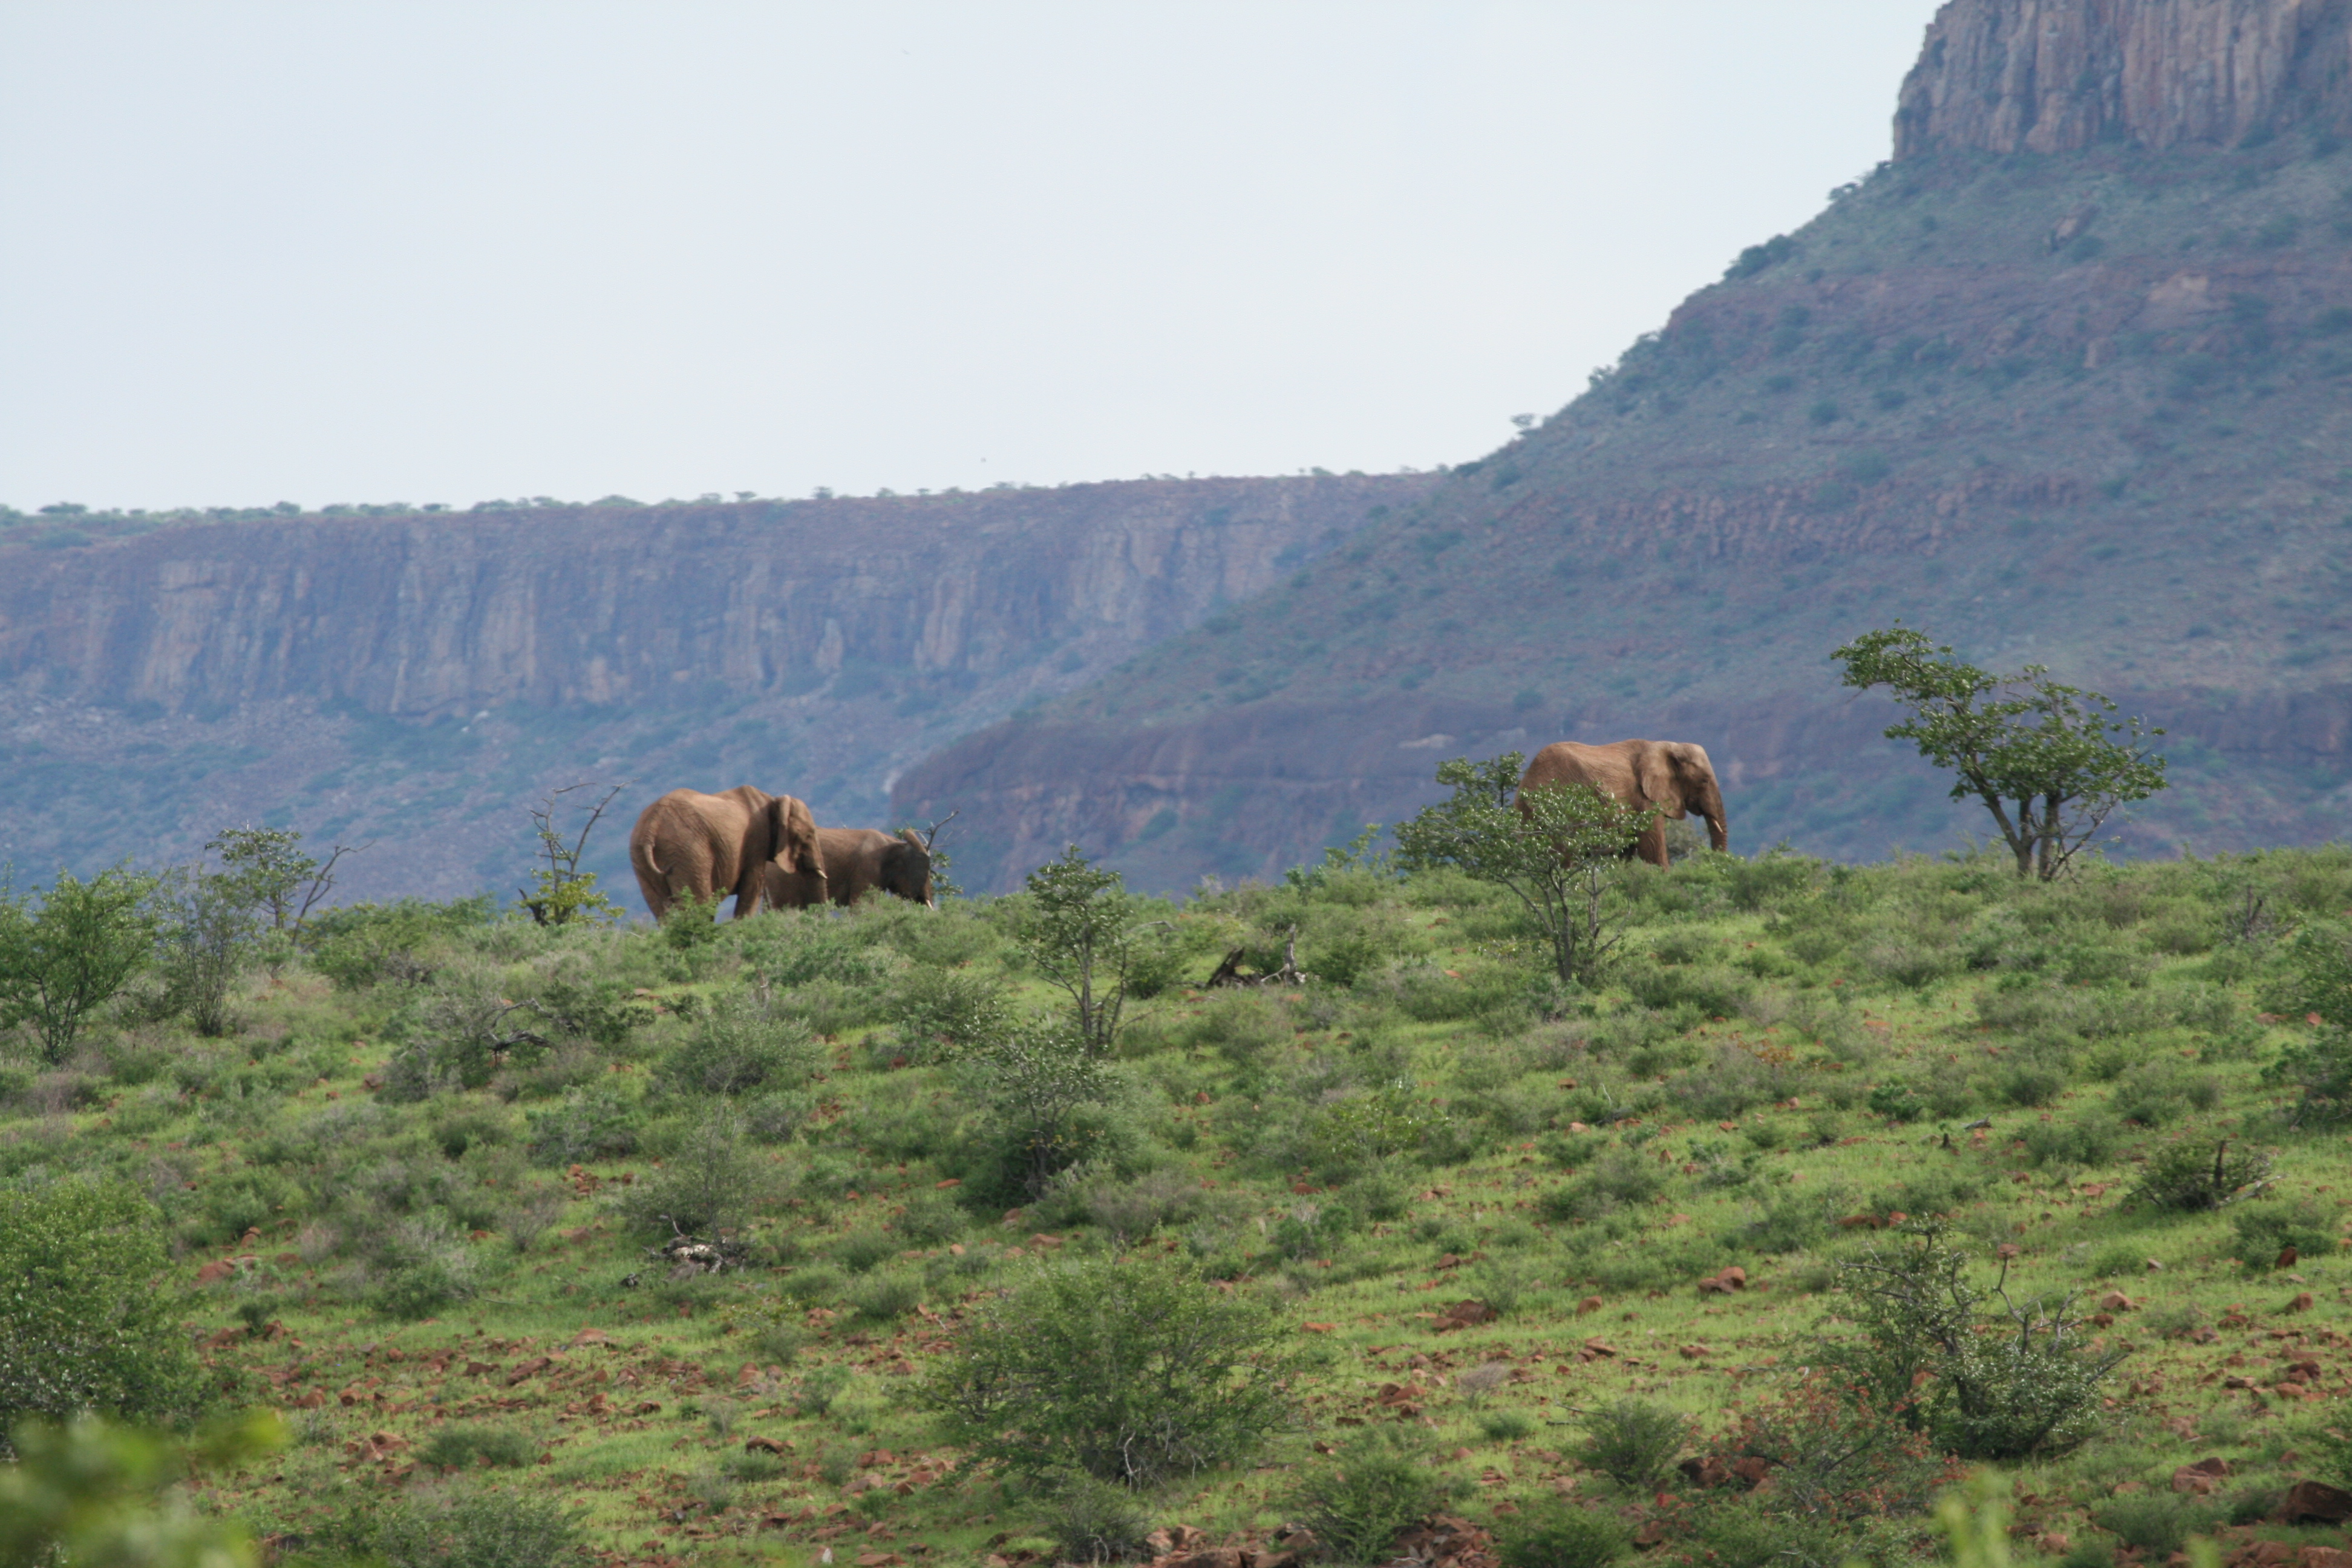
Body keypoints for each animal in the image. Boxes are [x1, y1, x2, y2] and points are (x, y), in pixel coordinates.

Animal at [626, 785, 828, 921]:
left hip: (640, 856)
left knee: (661, 910)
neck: (773, 800)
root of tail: (653, 824)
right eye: (809, 835)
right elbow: (753, 888)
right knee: (698, 904)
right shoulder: (757, 841)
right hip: (688, 851)